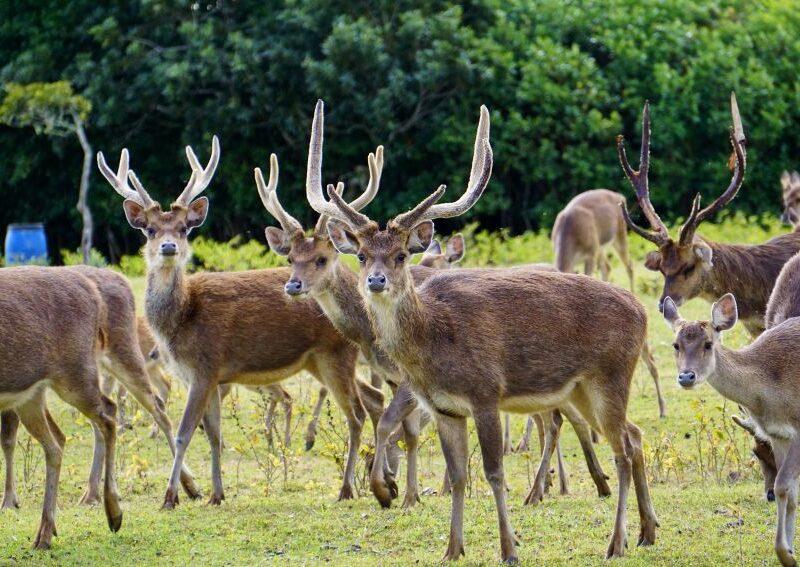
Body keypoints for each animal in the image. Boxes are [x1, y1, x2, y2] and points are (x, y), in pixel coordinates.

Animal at [0, 267, 123, 549]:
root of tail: (93, 291)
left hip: (75, 372)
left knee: (108, 413)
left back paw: (113, 513)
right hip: (31, 397)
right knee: (56, 443)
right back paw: (47, 531)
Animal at [2, 265, 201, 508]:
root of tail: (121, 279)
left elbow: (8, 439)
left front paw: (9, 501)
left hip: (119, 354)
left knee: (154, 405)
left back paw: (187, 487)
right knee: (107, 412)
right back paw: (93, 493)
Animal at [97, 135, 384, 507]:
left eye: (184, 228)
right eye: (149, 230)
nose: (169, 247)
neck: (180, 320)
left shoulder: (205, 367)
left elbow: (184, 433)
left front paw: (171, 497)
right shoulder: (207, 377)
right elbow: (214, 435)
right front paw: (216, 494)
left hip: (336, 353)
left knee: (356, 413)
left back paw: (347, 488)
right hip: (320, 361)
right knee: (374, 400)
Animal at [663, 293, 800, 567]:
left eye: (708, 344)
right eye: (676, 345)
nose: (686, 377)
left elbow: (781, 484)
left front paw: (787, 555)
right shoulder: (777, 434)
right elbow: (789, 491)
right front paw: (789, 553)